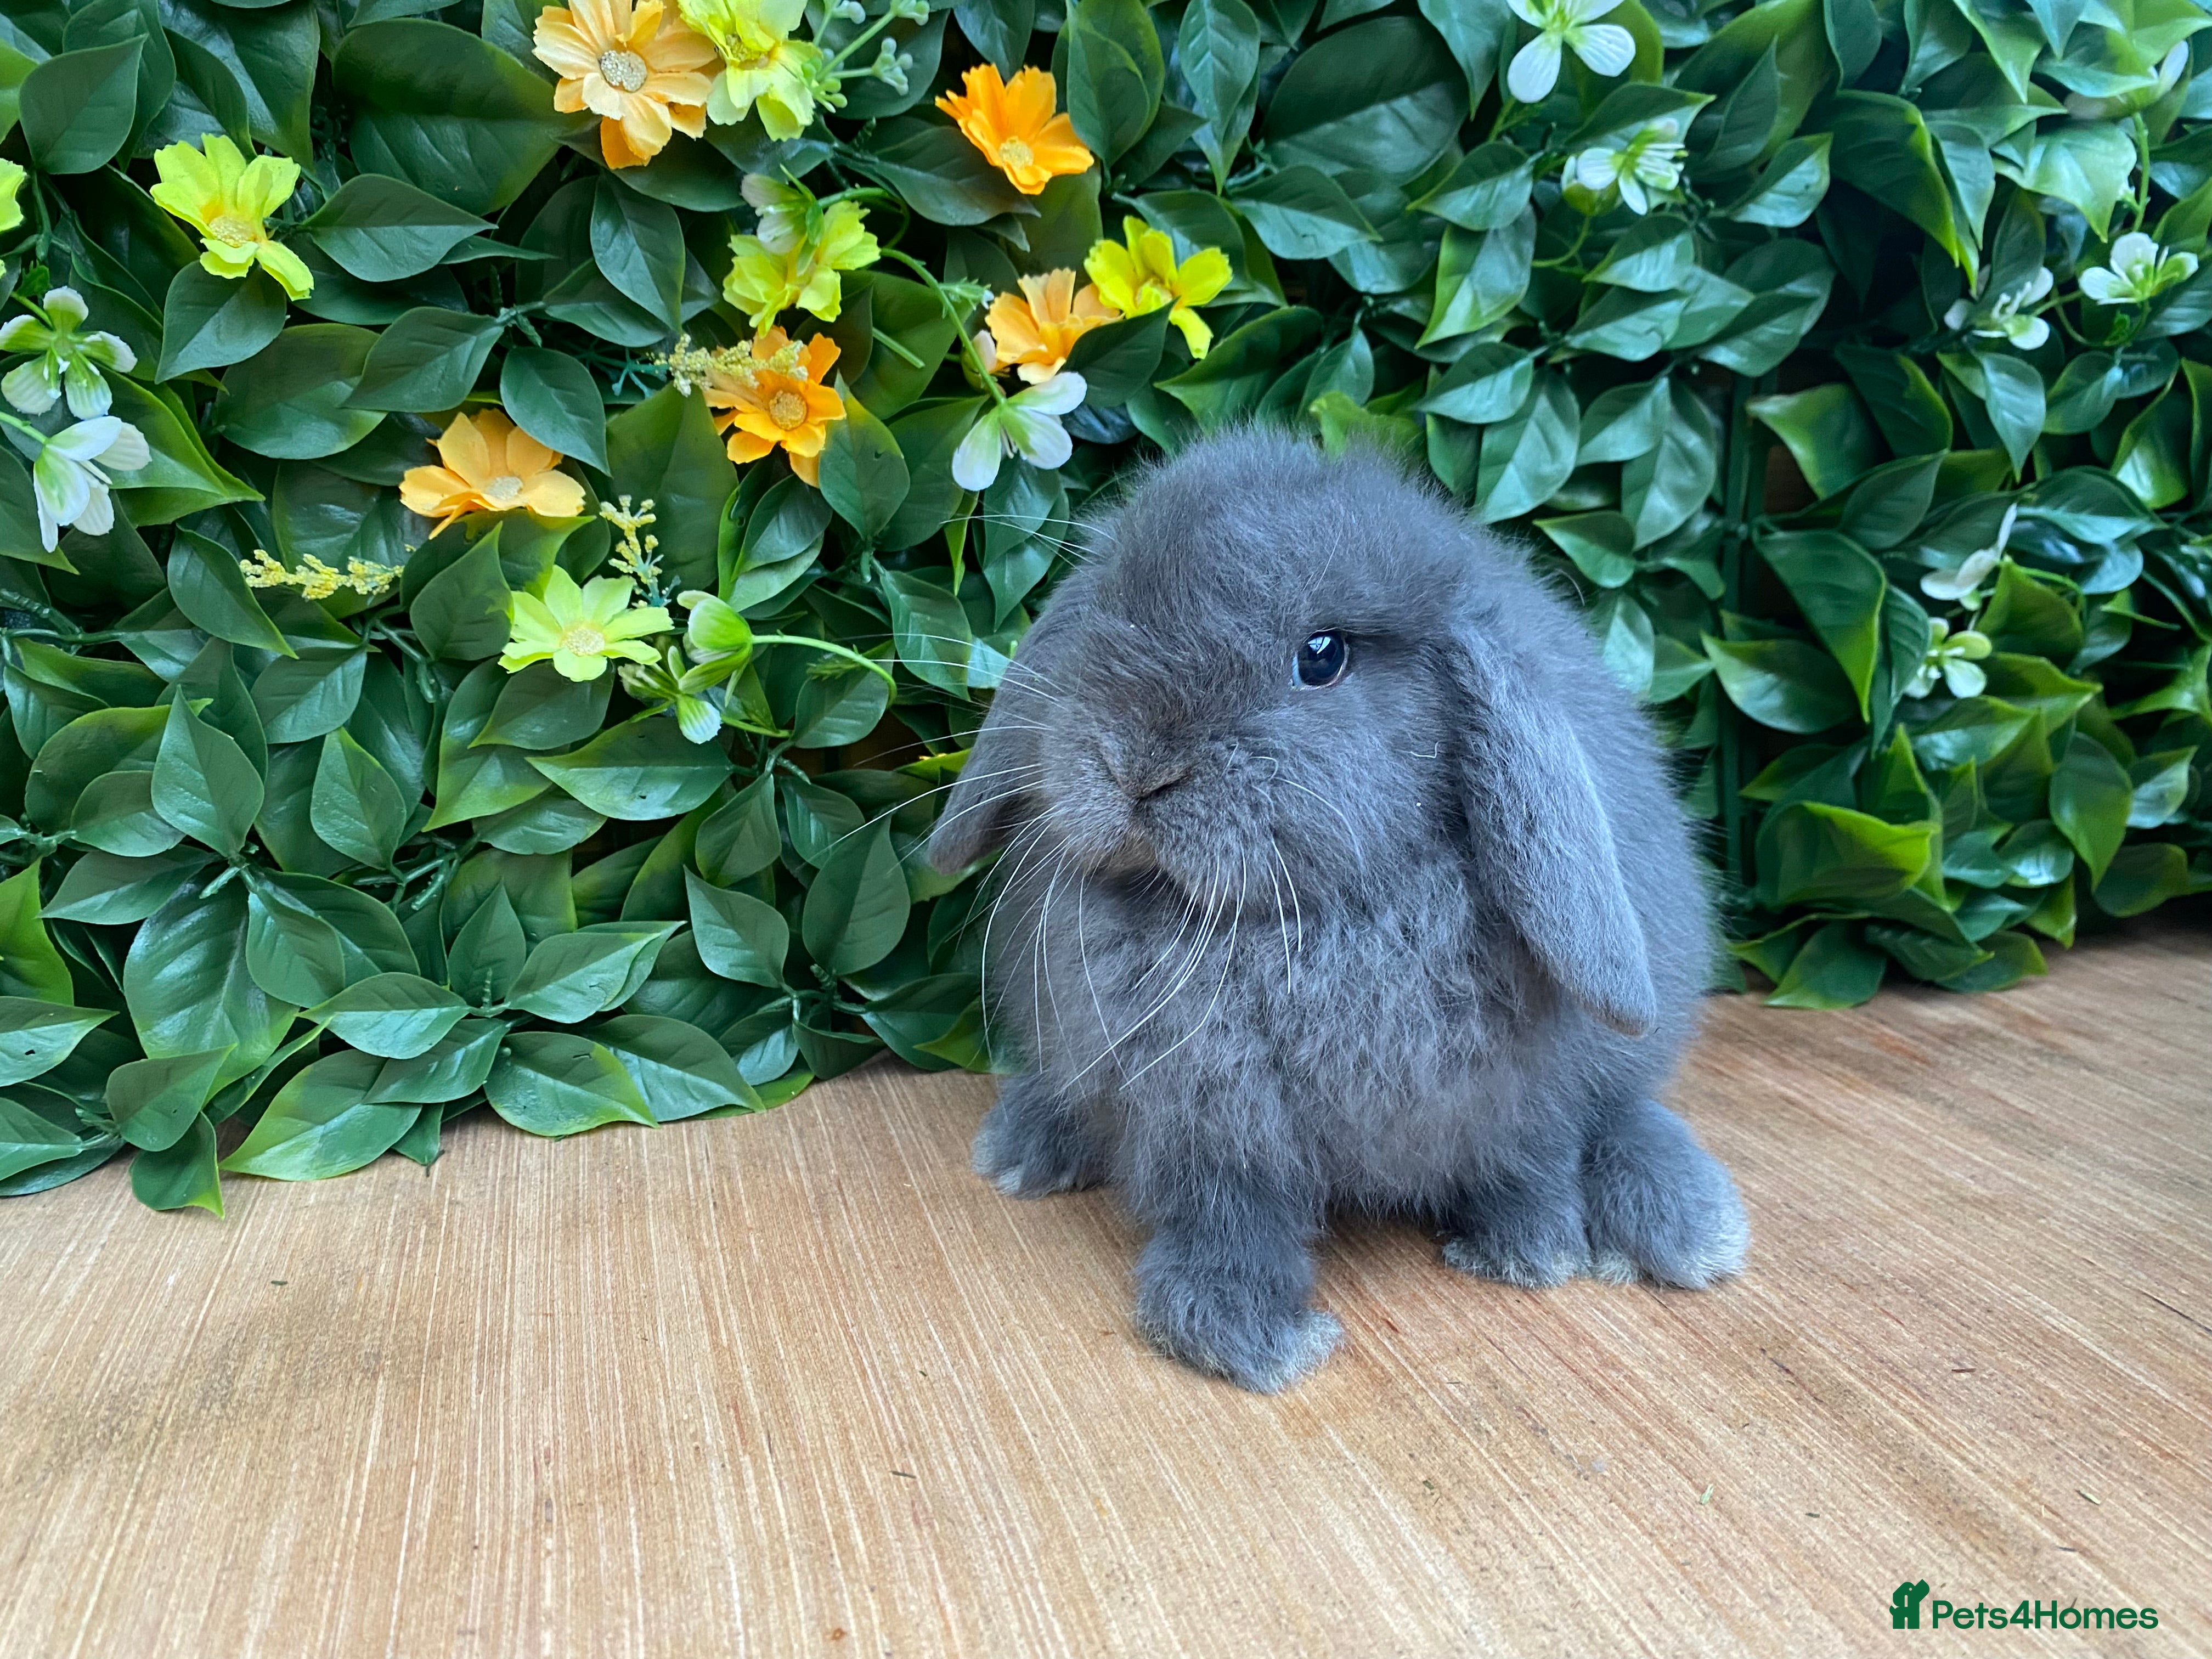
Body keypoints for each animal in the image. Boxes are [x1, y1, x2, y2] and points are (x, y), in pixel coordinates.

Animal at [926, 428, 1748, 1393]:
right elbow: (1229, 1225)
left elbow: (1529, 1165)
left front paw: (1530, 1253)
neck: (1287, 927)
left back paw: (1686, 1230)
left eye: (1322, 655)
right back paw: (1025, 1149)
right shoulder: (1207, 1133)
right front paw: (1248, 1334)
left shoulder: (1519, 1096)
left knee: (1623, 1115)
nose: (1135, 766)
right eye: (1111, 612)